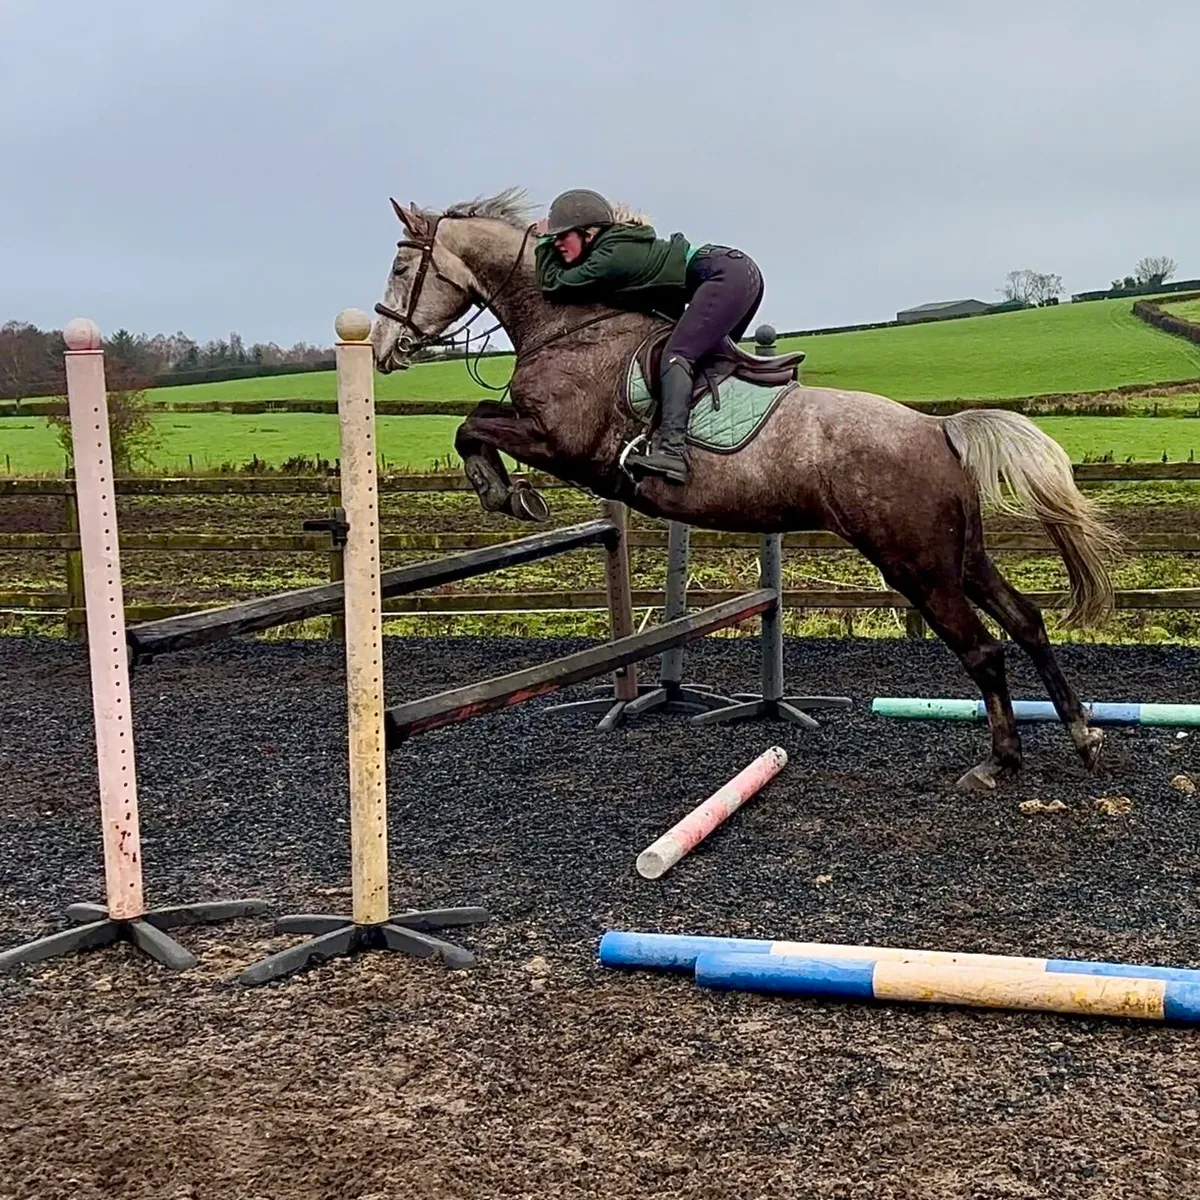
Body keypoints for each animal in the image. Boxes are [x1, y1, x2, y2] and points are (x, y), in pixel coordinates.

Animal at [369, 188, 1122, 792]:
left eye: (402, 268)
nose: (380, 350)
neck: (568, 321)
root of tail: (939, 428)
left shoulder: (561, 441)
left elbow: (472, 425)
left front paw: (505, 494)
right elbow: (475, 422)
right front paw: (507, 492)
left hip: (918, 566)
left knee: (984, 650)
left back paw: (1000, 762)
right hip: (960, 556)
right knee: (1026, 621)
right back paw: (1083, 734)